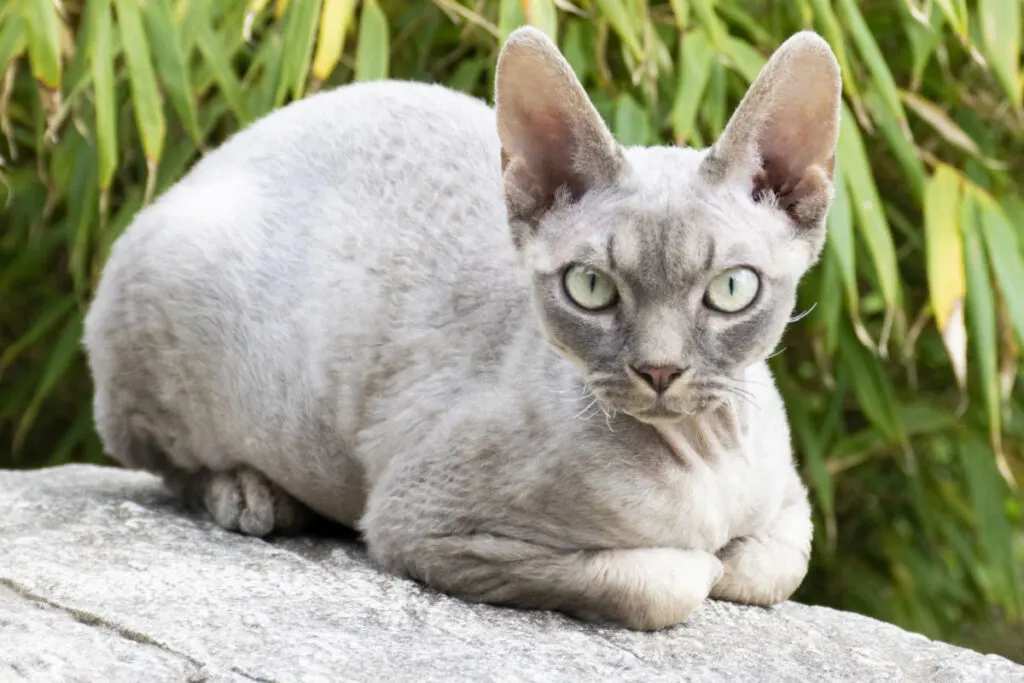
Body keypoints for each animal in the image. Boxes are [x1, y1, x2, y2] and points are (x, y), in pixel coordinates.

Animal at [83, 29, 839, 634]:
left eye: (731, 289)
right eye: (590, 288)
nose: (659, 370)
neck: (704, 456)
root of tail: (202, 169)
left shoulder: (790, 498)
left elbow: (773, 565)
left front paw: (731, 557)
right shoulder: (421, 522)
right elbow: (671, 582)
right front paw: (700, 563)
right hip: (160, 299)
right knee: (158, 458)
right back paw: (251, 496)